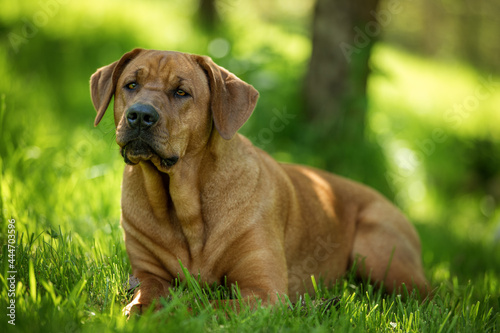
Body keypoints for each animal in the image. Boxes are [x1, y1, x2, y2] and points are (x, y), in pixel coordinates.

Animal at [91, 48, 430, 312]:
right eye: (131, 84)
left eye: (181, 92)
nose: (140, 115)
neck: (183, 204)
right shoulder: (147, 273)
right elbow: (146, 295)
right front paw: (140, 310)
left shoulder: (263, 291)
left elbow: (204, 305)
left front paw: (171, 312)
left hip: (377, 250)